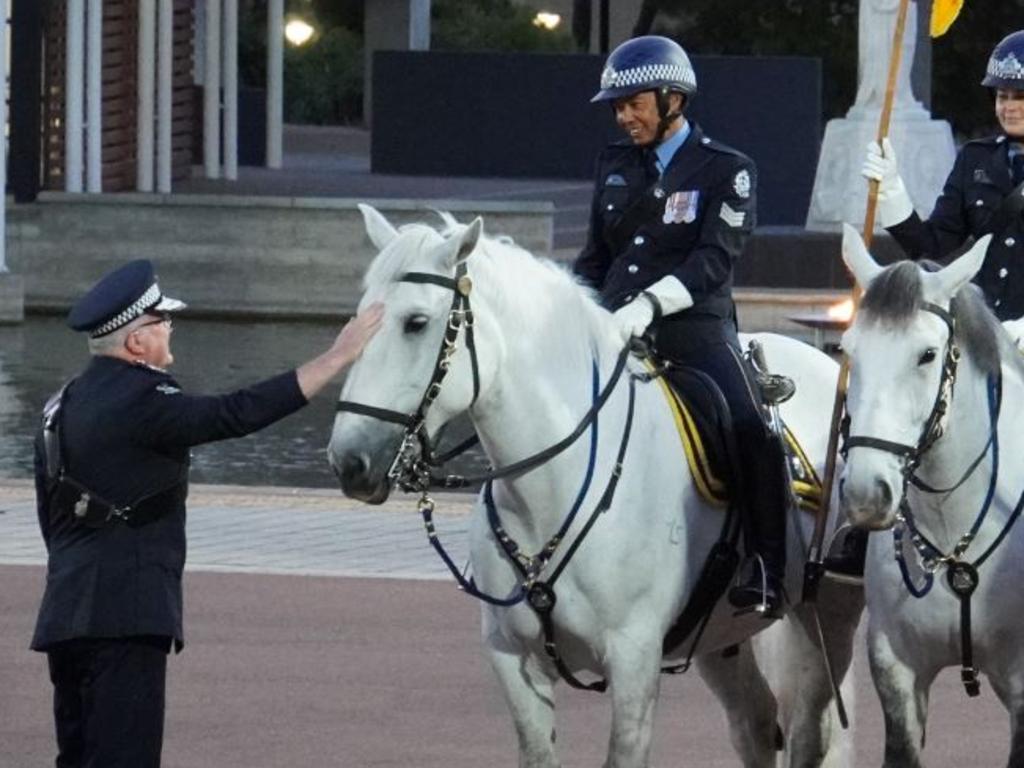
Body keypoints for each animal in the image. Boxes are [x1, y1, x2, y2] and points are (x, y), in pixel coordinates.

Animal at [327, 205, 864, 768]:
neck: (549, 490)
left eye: (416, 323)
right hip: (721, 635)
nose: (349, 460)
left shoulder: (634, 661)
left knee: (807, 732)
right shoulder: (513, 660)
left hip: (827, 616)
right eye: (359, 317)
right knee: (757, 723)